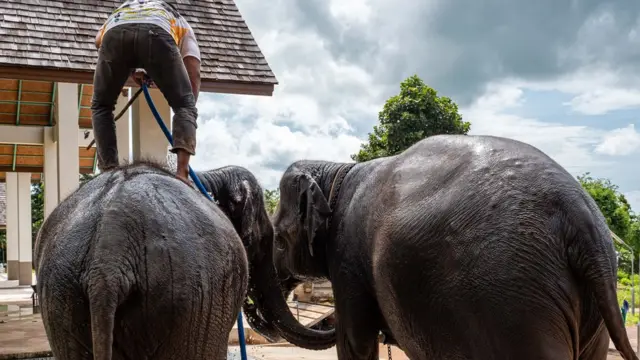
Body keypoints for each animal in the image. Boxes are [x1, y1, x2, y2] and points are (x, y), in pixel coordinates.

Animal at [268, 135, 636, 360]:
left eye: (278, 239)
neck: (336, 172)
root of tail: (581, 215)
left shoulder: (346, 259)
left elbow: (355, 342)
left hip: (513, 301)